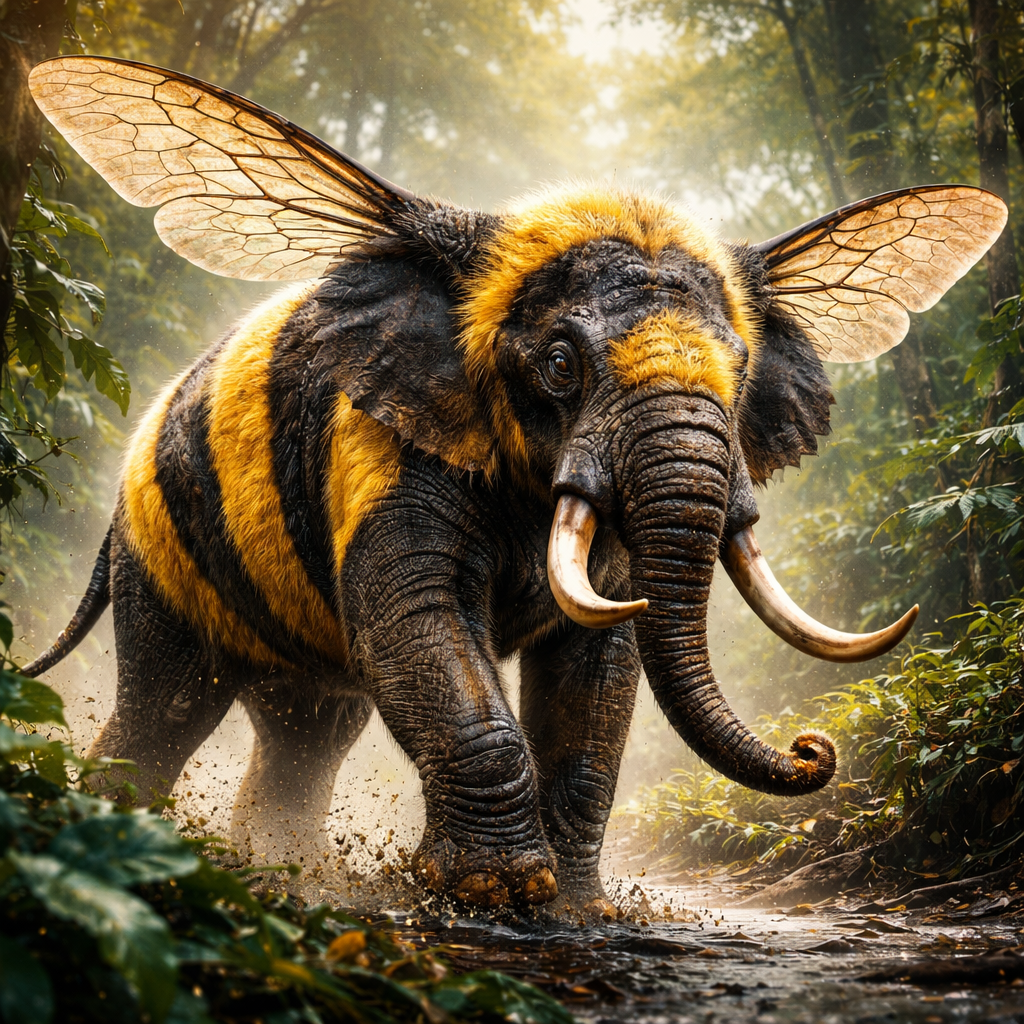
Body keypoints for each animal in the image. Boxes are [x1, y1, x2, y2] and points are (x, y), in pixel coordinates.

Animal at [23, 55, 1006, 915]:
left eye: (740, 371)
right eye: (561, 364)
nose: (814, 748)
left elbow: (596, 664)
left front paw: (573, 913)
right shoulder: (386, 443)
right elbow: (415, 614)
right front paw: (491, 895)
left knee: (310, 733)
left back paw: (286, 872)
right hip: (159, 550)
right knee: (166, 707)